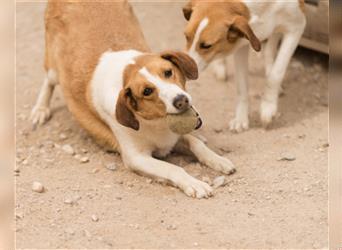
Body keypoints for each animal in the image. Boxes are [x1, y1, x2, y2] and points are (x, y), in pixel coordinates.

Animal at [30, 0, 235, 198]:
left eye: (168, 72)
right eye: (147, 91)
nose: (181, 100)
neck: (157, 122)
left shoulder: (173, 137)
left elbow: (196, 143)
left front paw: (218, 160)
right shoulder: (137, 158)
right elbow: (174, 169)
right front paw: (194, 183)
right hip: (54, 68)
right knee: (48, 81)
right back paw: (40, 109)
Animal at [183, 0, 306, 133]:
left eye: (206, 46)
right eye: (186, 36)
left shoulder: (296, 27)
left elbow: (275, 74)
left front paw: (268, 106)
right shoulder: (241, 43)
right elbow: (241, 86)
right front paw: (241, 118)